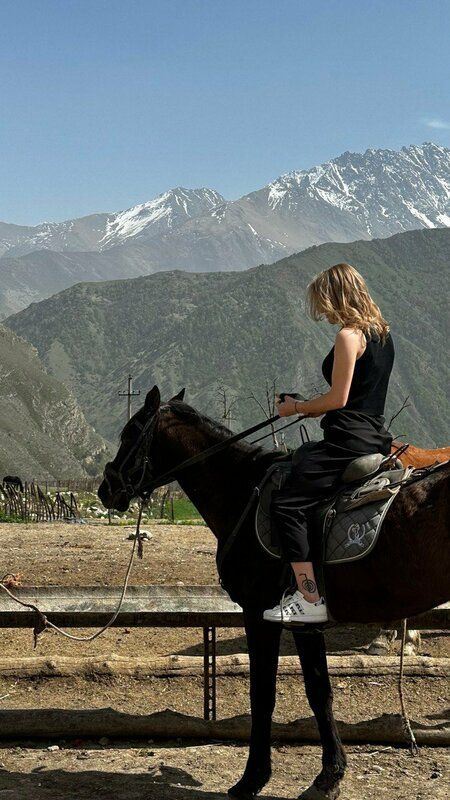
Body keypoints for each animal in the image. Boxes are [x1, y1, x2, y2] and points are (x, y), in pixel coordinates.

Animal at [98, 386, 450, 800]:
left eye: (129, 433)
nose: (107, 489)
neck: (242, 492)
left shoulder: (259, 614)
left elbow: (262, 694)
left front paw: (252, 779)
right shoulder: (305, 624)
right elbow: (319, 691)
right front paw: (329, 776)